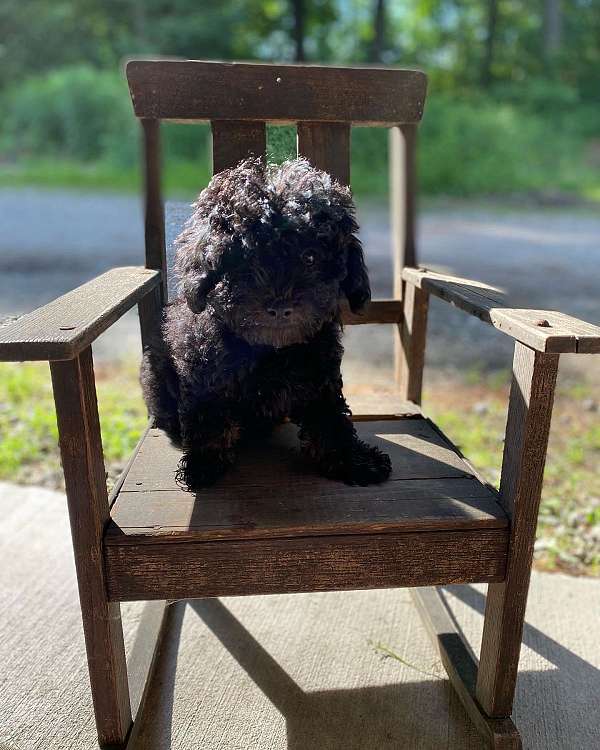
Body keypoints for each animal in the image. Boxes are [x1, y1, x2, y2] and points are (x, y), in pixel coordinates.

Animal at [142, 156, 394, 490]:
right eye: (247, 258)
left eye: (310, 257)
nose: (280, 307)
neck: (270, 350)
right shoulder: (205, 376)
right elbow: (209, 418)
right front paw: (204, 465)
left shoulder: (320, 377)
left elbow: (330, 419)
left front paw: (353, 460)